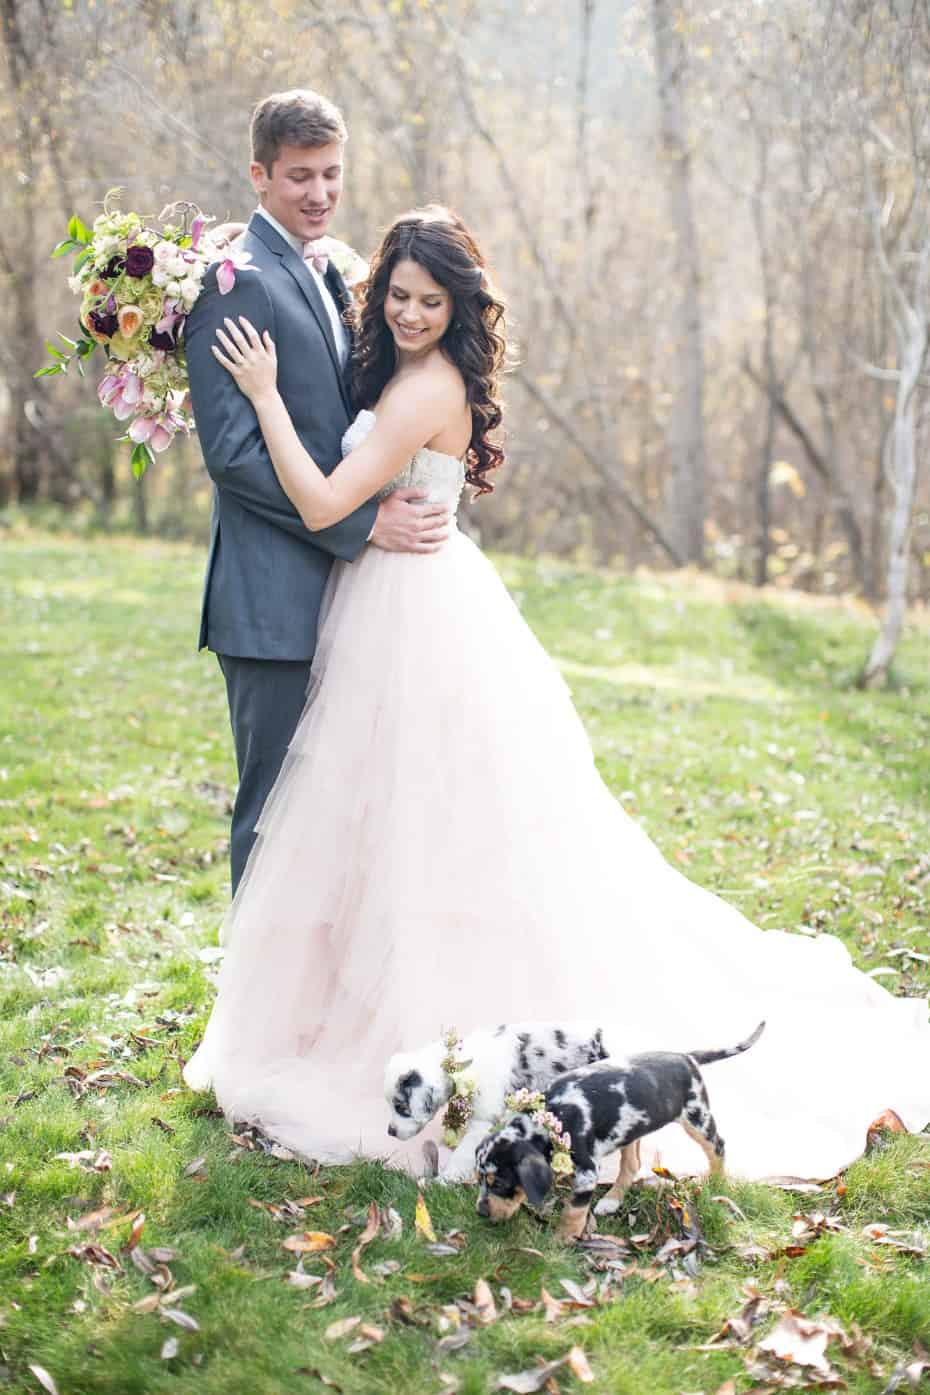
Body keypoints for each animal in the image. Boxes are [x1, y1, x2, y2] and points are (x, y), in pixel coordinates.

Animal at [382, 1021, 613, 1182]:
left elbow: (462, 1155)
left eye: (401, 1107)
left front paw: (443, 1182)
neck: (463, 1062)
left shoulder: (482, 1122)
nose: (390, 1132)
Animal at [476, 1021, 769, 1238]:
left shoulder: (587, 1172)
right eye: (479, 1179)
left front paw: (561, 1241)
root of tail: (688, 1058)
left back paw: (718, 1182)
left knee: (717, 1147)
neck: (549, 1119)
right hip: (630, 1129)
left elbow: (573, 1211)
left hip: (697, 1118)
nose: (480, 1212)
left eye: (499, 1183)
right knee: (632, 1164)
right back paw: (612, 1200)